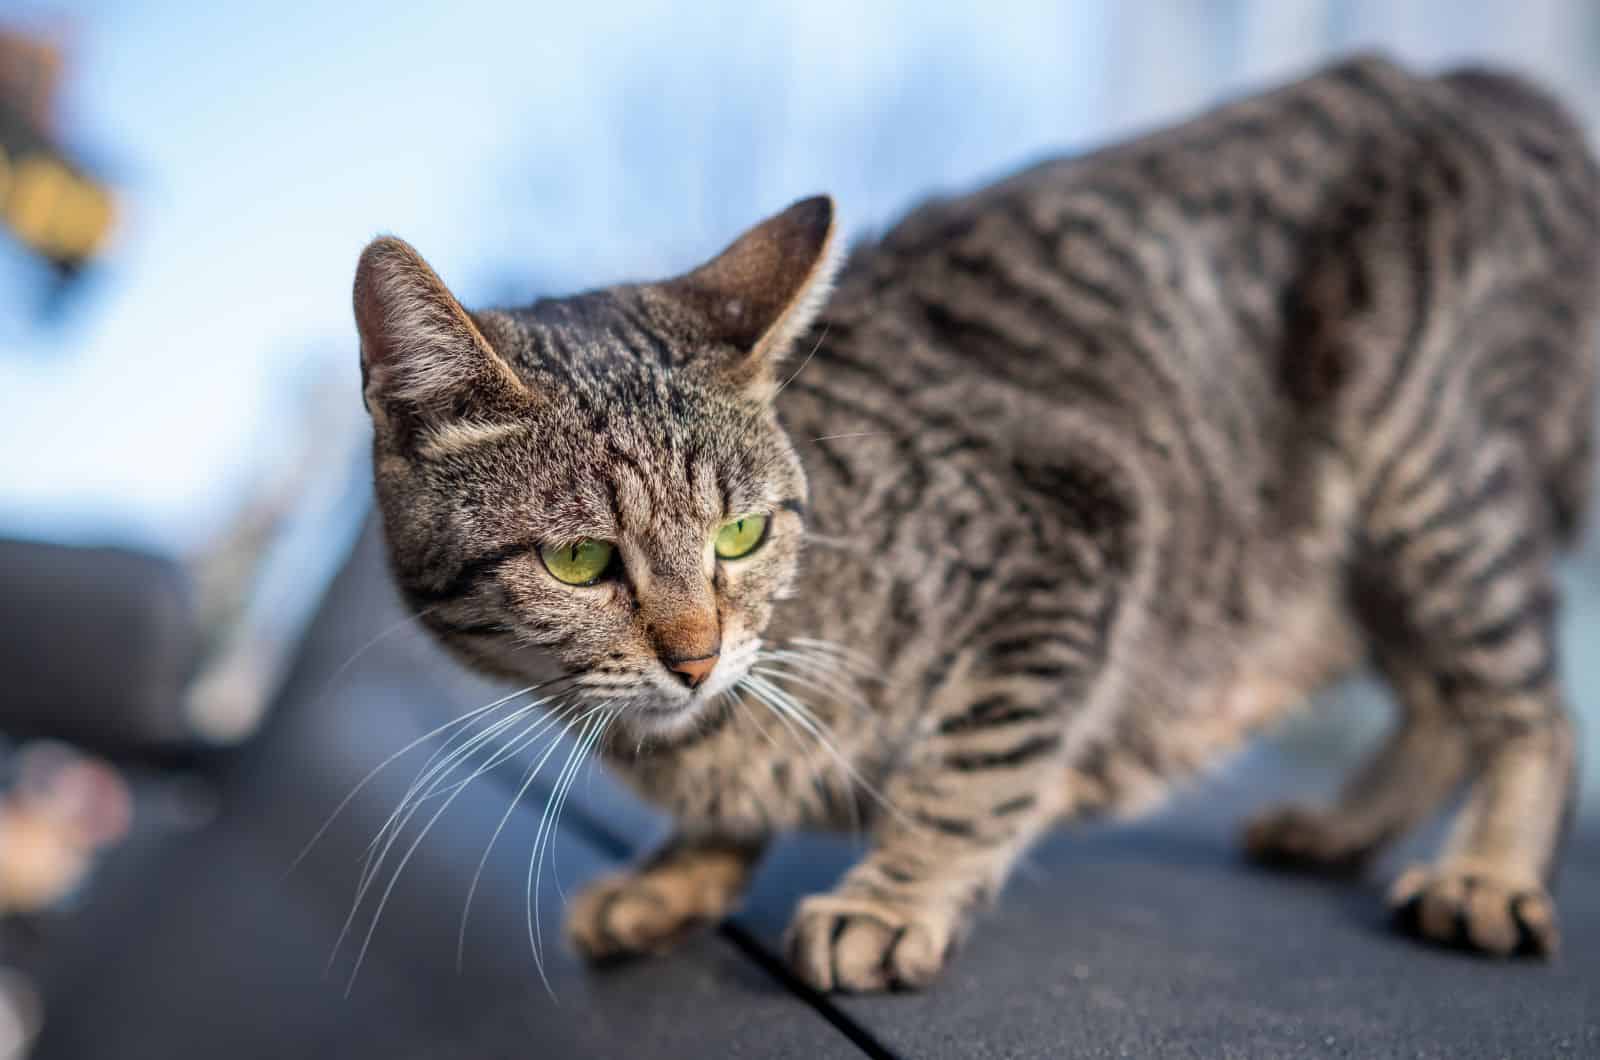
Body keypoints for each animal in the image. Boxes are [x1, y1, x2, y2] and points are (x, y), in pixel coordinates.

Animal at [353, 54, 1600, 992]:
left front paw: (895, 895)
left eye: (740, 537)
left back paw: (1487, 873)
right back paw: (1343, 828)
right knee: (1438, 697)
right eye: (579, 560)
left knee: (1526, 706)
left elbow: (976, 759)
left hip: (1427, 471)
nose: (697, 657)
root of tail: (1490, 85)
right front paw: (683, 866)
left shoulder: (1074, 525)